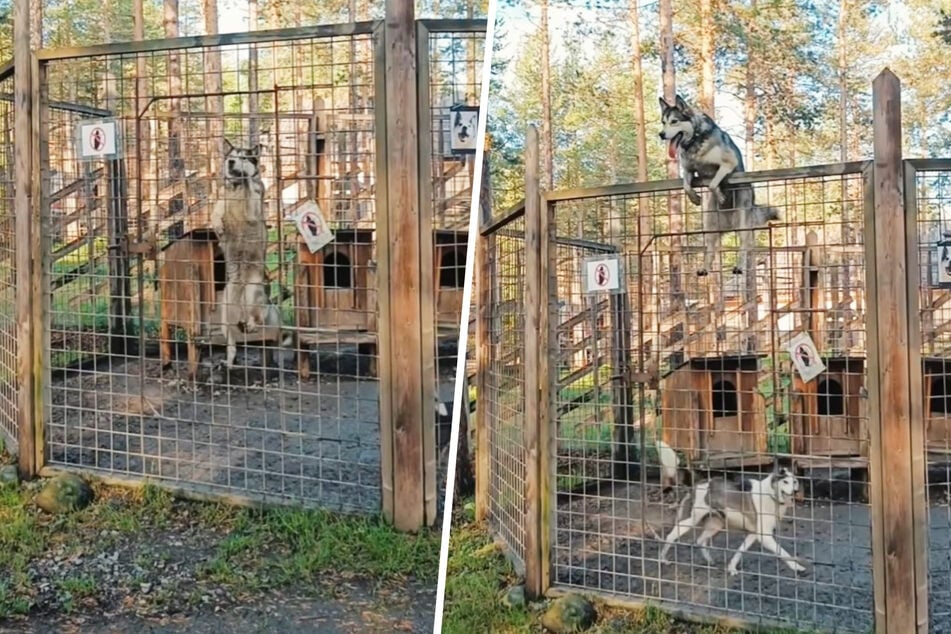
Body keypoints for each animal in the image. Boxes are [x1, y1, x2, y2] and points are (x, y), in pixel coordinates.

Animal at [660, 92, 784, 276]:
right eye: (663, 121)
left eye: (674, 121)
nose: (661, 134)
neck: (695, 141)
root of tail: (729, 223)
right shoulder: (688, 170)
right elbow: (687, 186)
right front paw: (695, 199)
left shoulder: (728, 164)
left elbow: (713, 183)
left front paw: (720, 196)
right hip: (710, 225)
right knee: (711, 248)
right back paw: (704, 268)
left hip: (742, 223)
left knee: (745, 246)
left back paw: (739, 266)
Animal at [660, 462, 808, 576]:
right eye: (785, 481)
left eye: (794, 481)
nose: (795, 492)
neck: (770, 495)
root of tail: (697, 484)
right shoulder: (764, 536)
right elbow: (783, 552)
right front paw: (797, 567)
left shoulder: (753, 534)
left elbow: (739, 551)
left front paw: (731, 568)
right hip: (692, 520)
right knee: (672, 535)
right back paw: (663, 559)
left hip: (716, 525)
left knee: (700, 540)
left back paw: (709, 561)